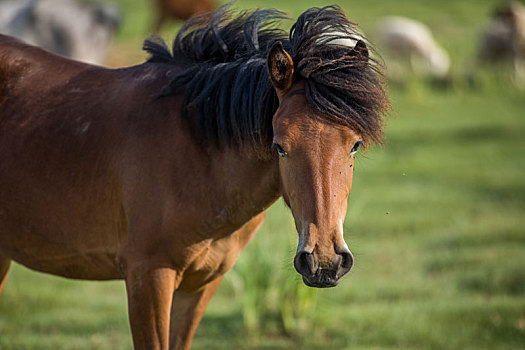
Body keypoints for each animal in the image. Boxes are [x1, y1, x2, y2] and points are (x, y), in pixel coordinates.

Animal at [1, 5, 388, 350]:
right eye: (280, 147)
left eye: (355, 145)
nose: (324, 262)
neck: (195, 149)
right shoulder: (147, 278)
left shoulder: (200, 285)